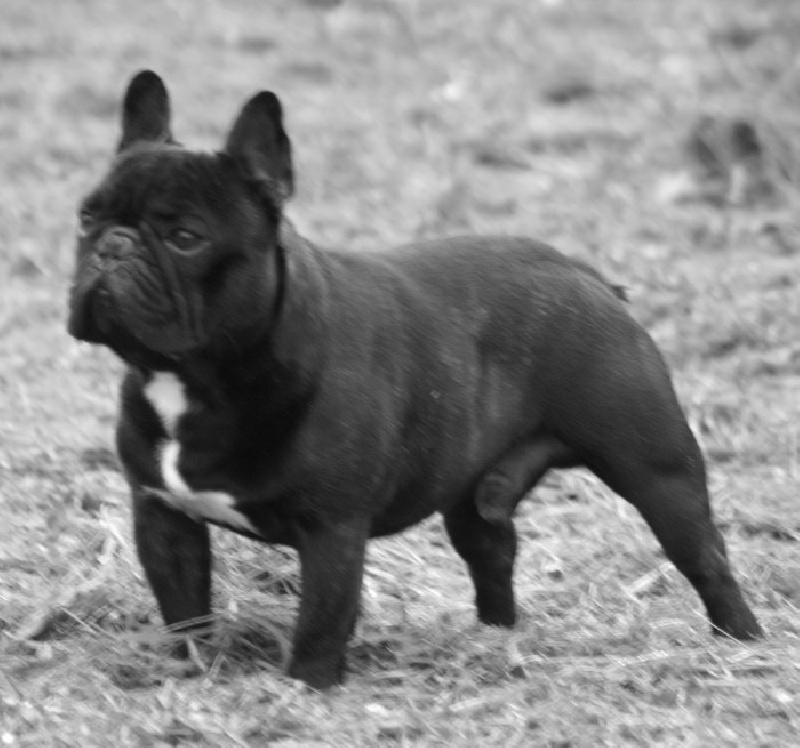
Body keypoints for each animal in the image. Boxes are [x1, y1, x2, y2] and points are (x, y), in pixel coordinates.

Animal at [67, 70, 761, 689]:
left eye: (186, 237)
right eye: (85, 217)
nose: (114, 245)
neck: (196, 378)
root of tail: (583, 274)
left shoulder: (333, 531)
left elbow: (321, 619)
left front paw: (304, 689)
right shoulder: (163, 516)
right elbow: (185, 609)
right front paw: (191, 671)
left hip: (655, 468)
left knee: (705, 556)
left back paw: (742, 642)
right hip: (477, 497)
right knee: (493, 554)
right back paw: (492, 640)